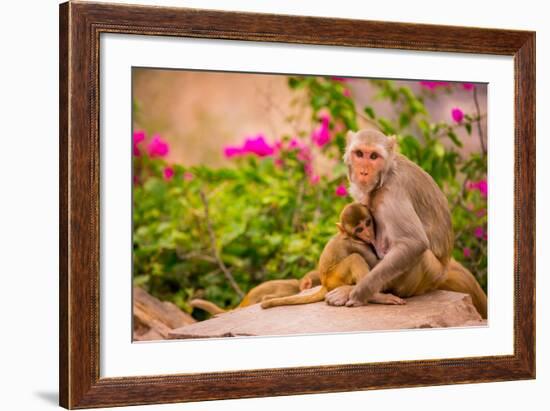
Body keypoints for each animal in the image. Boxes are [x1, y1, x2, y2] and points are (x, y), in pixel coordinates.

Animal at [264, 203, 406, 308]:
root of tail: (325, 284)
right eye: (359, 230)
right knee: (355, 258)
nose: (368, 233)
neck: (351, 237)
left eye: (368, 223)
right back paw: (375, 296)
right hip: (336, 278)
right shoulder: (357, 246)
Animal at [326, 129, 490, 318]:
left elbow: (414, 243)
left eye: (374, 156)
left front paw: (359, 293)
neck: (386, 174)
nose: (364, 172)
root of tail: (444, 270)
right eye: (359, 154)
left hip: (426, 276)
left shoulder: (393, 193)